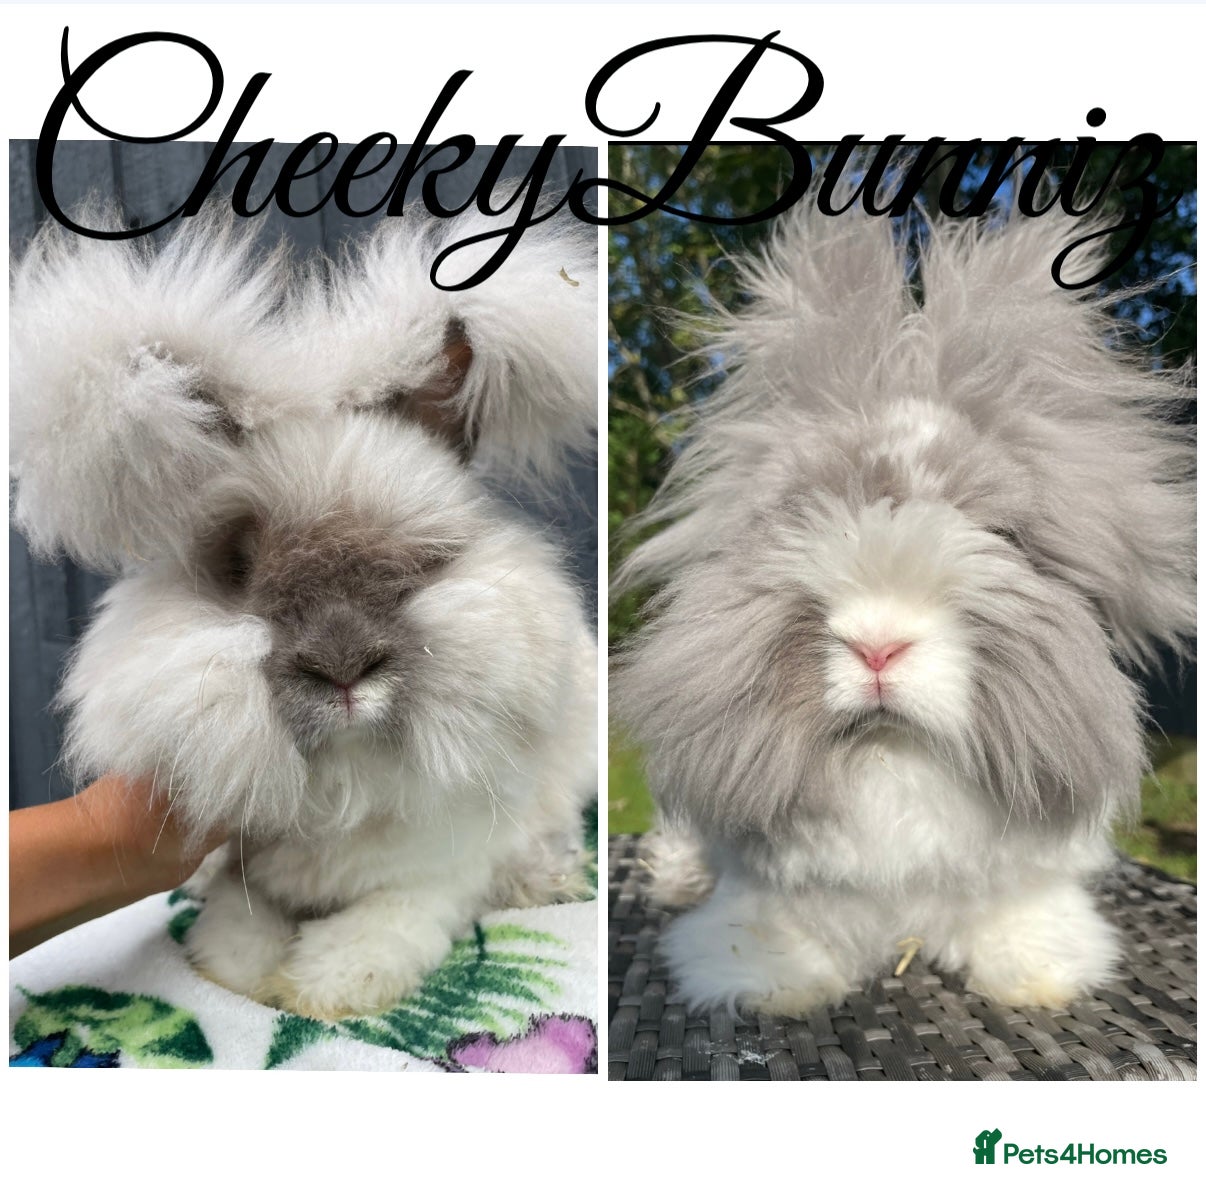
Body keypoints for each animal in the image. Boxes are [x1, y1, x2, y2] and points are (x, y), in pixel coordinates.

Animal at [10, 205, 598, 1020]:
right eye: (236, 567)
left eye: (424, 559)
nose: (343, 670)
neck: (347, 782)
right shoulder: (245, 865)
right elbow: (235, 926)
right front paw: (244, 976)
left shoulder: (440, 871)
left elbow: (388, 926)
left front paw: (324, 987)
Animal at [612, 207, 1194, 1017]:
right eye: (806, 515)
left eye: (1001, 535)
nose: (878, 646)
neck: (895, 759)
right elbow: (771, 925)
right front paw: (767, 981)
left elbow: (1022, 916)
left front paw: (1040, 977)